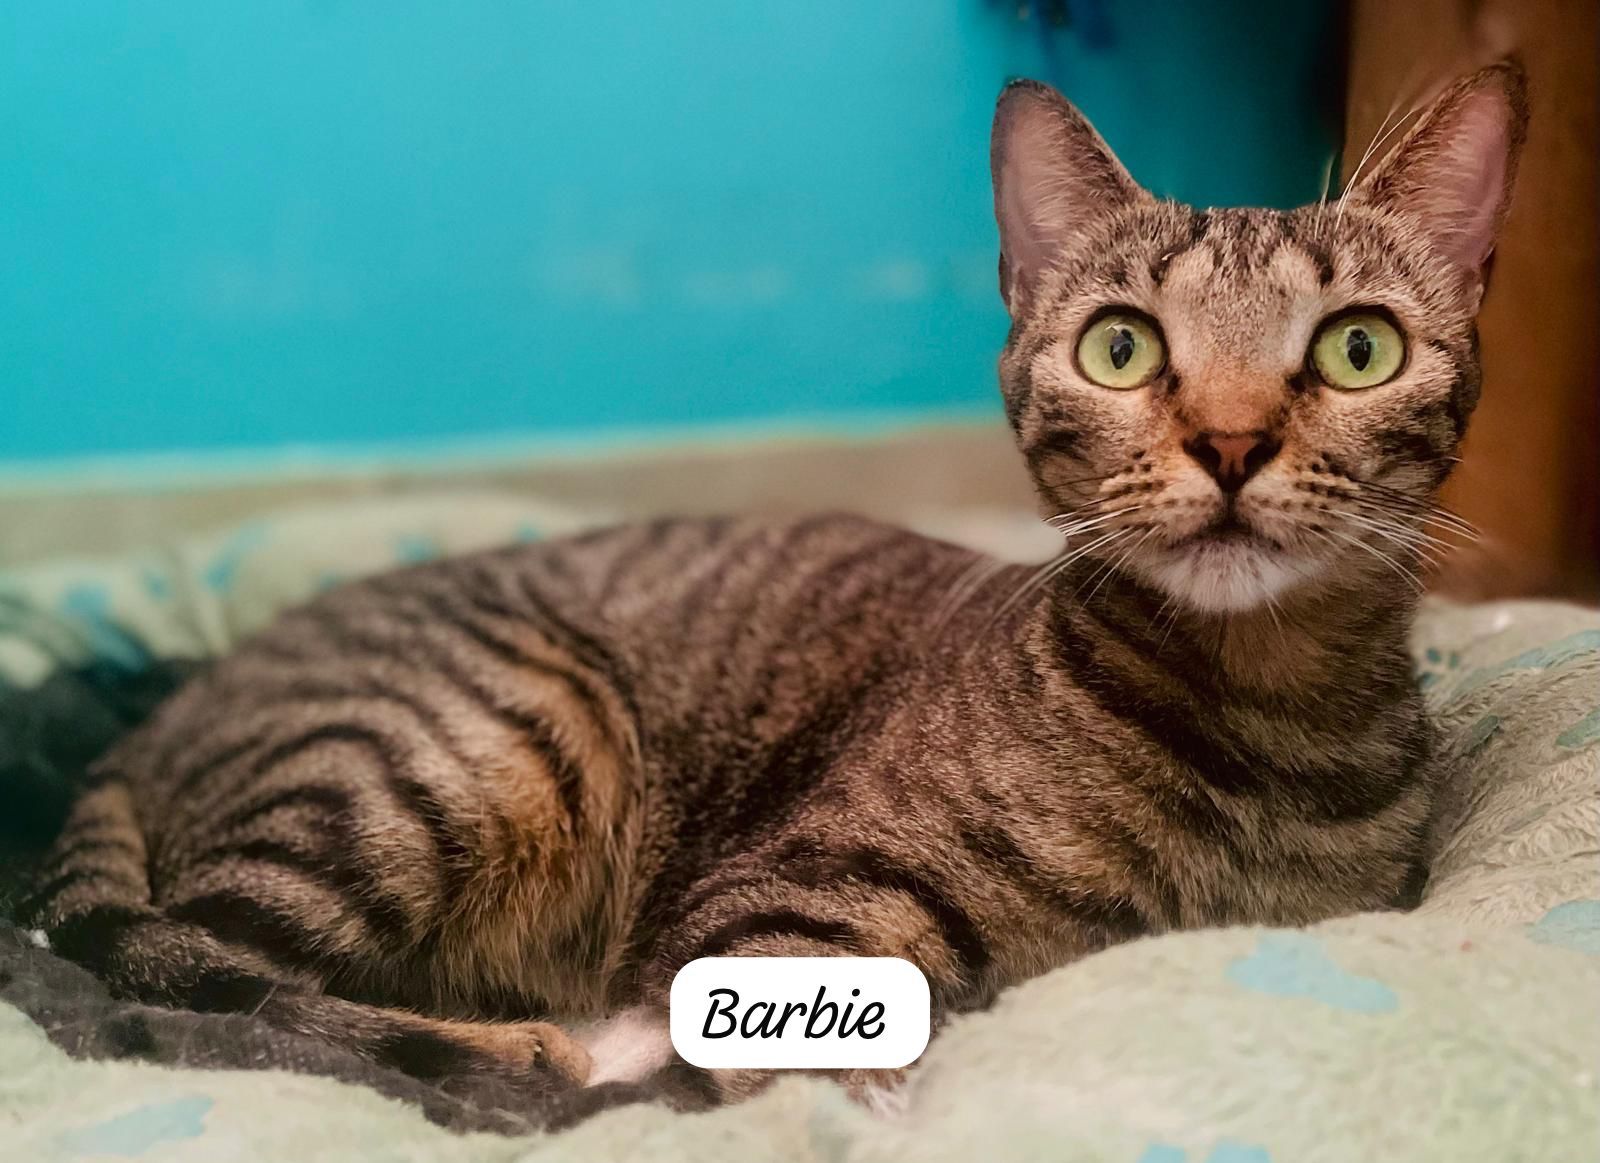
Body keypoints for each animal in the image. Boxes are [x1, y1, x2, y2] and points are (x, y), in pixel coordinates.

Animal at [21, 63, 1523, 1119]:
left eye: (1358, 347)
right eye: (1121, 346)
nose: (1229, 438)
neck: (1260, 712)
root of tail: (165, 709)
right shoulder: (786, 914)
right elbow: (815, 1082)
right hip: (481, 741)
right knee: (164, 974)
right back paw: (516, 1053)